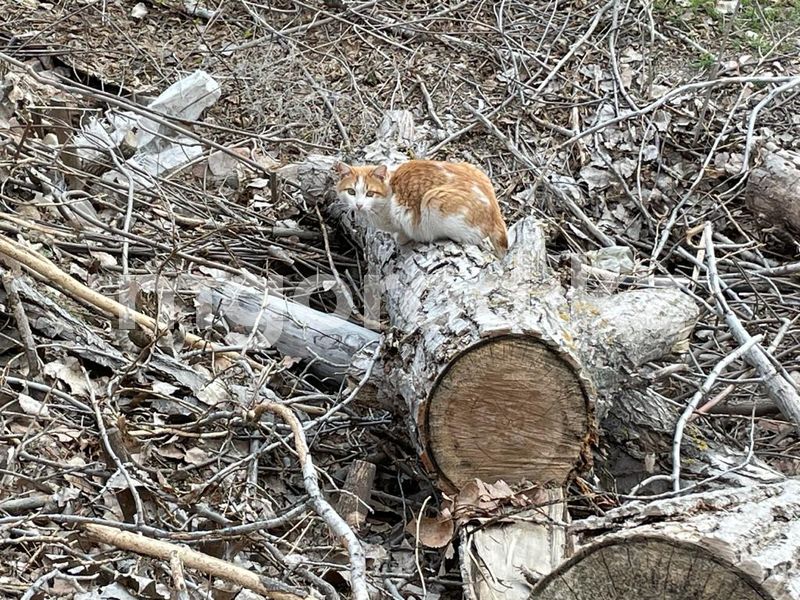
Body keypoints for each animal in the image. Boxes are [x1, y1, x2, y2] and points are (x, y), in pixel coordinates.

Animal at [334, 158, 510, 256]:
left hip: (432, 199)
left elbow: (403, 231)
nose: (358, 204)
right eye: (351, 192)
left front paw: (401, 239)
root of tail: (496, 214)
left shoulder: (403, 216)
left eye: (370, 193)